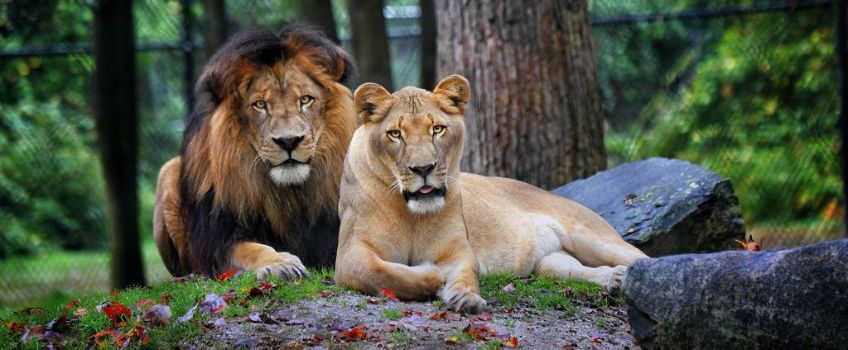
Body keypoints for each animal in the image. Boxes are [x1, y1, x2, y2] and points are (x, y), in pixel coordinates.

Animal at [154, 26, 356, 278]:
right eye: (260, 104)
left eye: (305, 100)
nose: (289, 141)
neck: (289, 196)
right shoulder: (219, 244)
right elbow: (251, 249)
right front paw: (281, 263)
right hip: (168, 171)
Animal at [334, 76, 644, 312]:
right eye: (395, 134)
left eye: (438, 129)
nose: (423, 168)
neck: (411, 215)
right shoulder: (349, 254)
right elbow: (382, 272)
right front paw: (434, 276)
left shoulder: (458, 248)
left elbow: (465, 273)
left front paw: (464, 296)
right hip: (550, 262)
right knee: (571, 269)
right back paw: (615, 279)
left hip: (593, 237)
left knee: (641, 259)